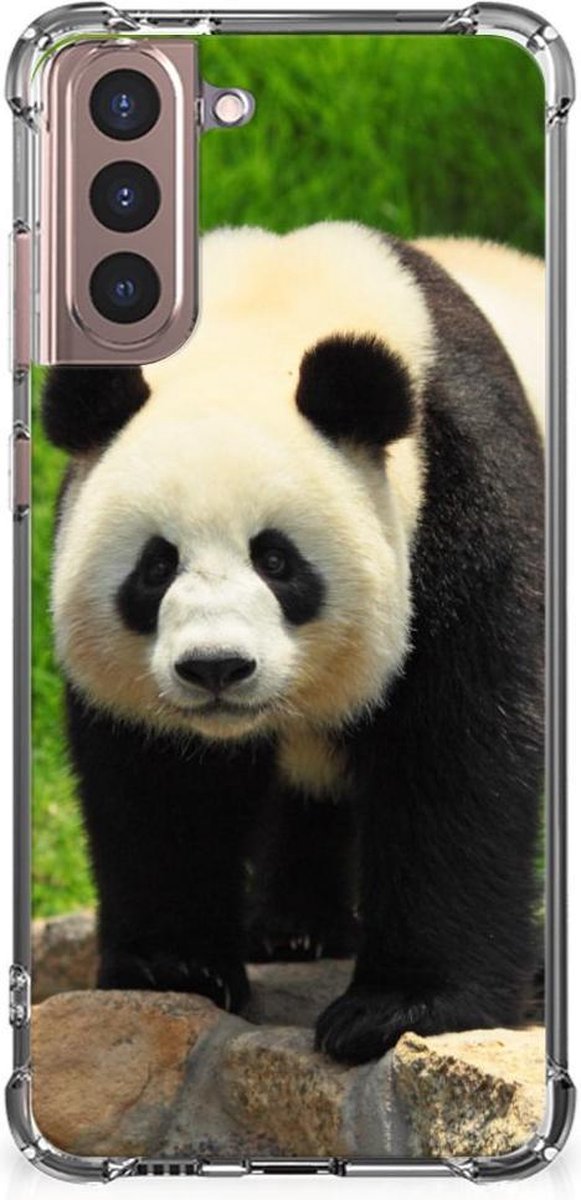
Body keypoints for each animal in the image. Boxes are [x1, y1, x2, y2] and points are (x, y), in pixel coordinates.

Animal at [42, 223, 544, 1065]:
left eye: (276, 560)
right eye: (155, 566)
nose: (215, 667)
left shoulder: (463, 494)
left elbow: (460, 750)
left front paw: (398, 1009)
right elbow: (158, 780)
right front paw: (174, 968)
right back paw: (294, 930)